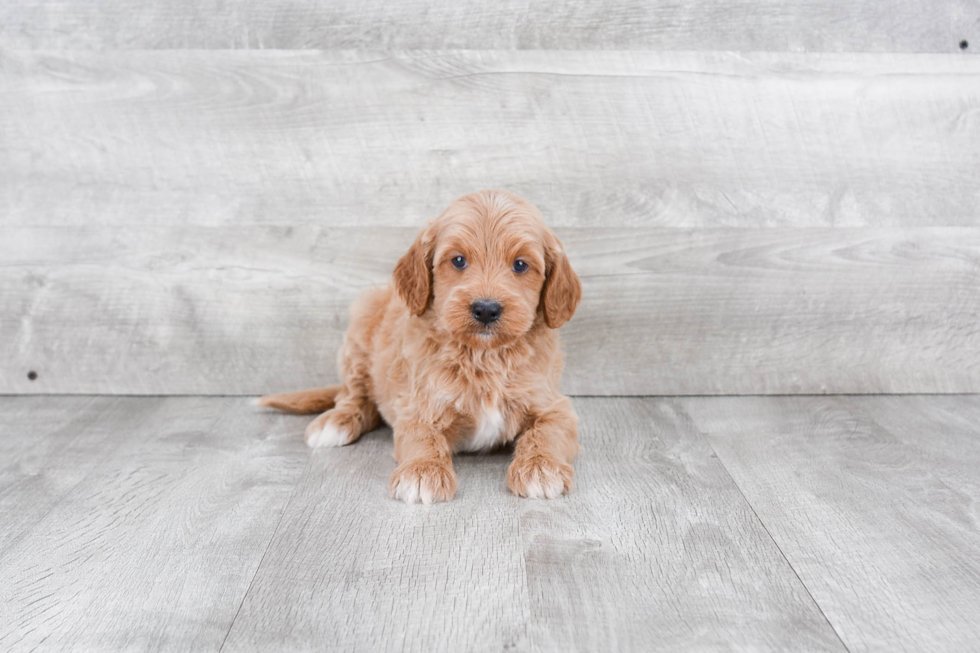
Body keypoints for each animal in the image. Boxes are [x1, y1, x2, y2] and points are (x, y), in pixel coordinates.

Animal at [258, 190, 580, 504]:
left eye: (521, 265)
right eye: (458, 260)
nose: (486, 309)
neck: (483, 354)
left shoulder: (553, 403)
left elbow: (547, 431)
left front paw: (541, 467)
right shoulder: (418, 404)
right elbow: (423, 436)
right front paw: (422, 472)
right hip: (361, 326)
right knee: (354, 395)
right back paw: (336, 422)